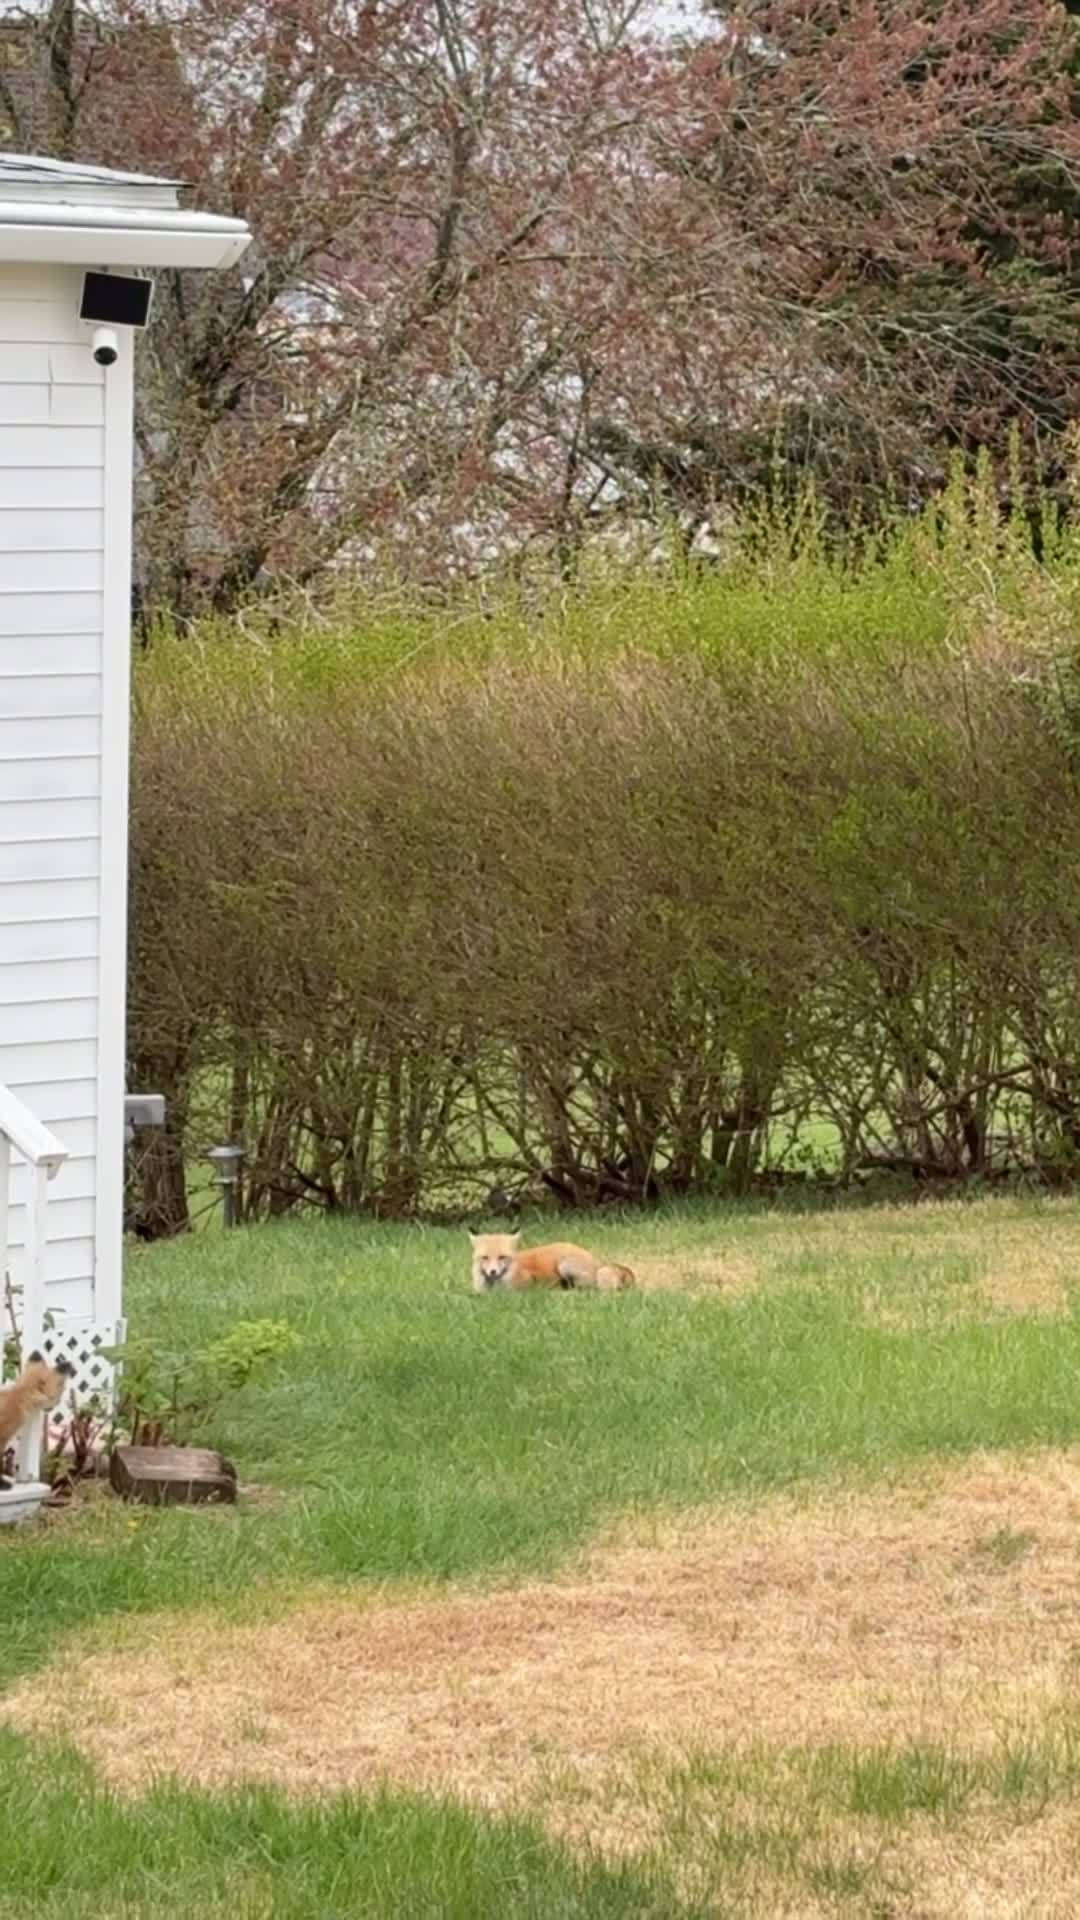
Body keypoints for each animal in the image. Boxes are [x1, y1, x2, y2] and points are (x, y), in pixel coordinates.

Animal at [470, 1232, 635, 1294]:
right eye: (485, 1257)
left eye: (502, 1257)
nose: (493, 1272)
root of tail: (597, 1261)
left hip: (565, 1266)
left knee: (586, 1289)